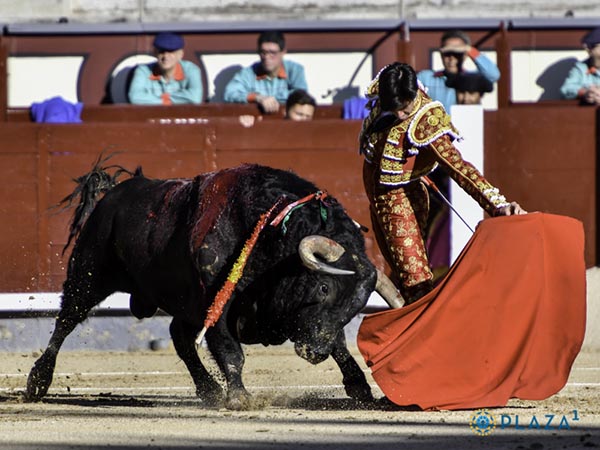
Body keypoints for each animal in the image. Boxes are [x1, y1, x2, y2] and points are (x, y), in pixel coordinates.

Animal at [25, 162, 400, 408]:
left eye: (356, 307)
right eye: (323, 288)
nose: (314, 353)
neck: (271, 234)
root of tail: (113, 193)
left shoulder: (309, 322)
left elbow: (338, 342)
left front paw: (360, 387)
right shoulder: (216, 300)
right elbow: (229, 350)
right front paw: (239, 397)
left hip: (180, 302)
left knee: (179, 337)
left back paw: (208, 389)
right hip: (88, 275)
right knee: (66, 321)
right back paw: (38, 381)